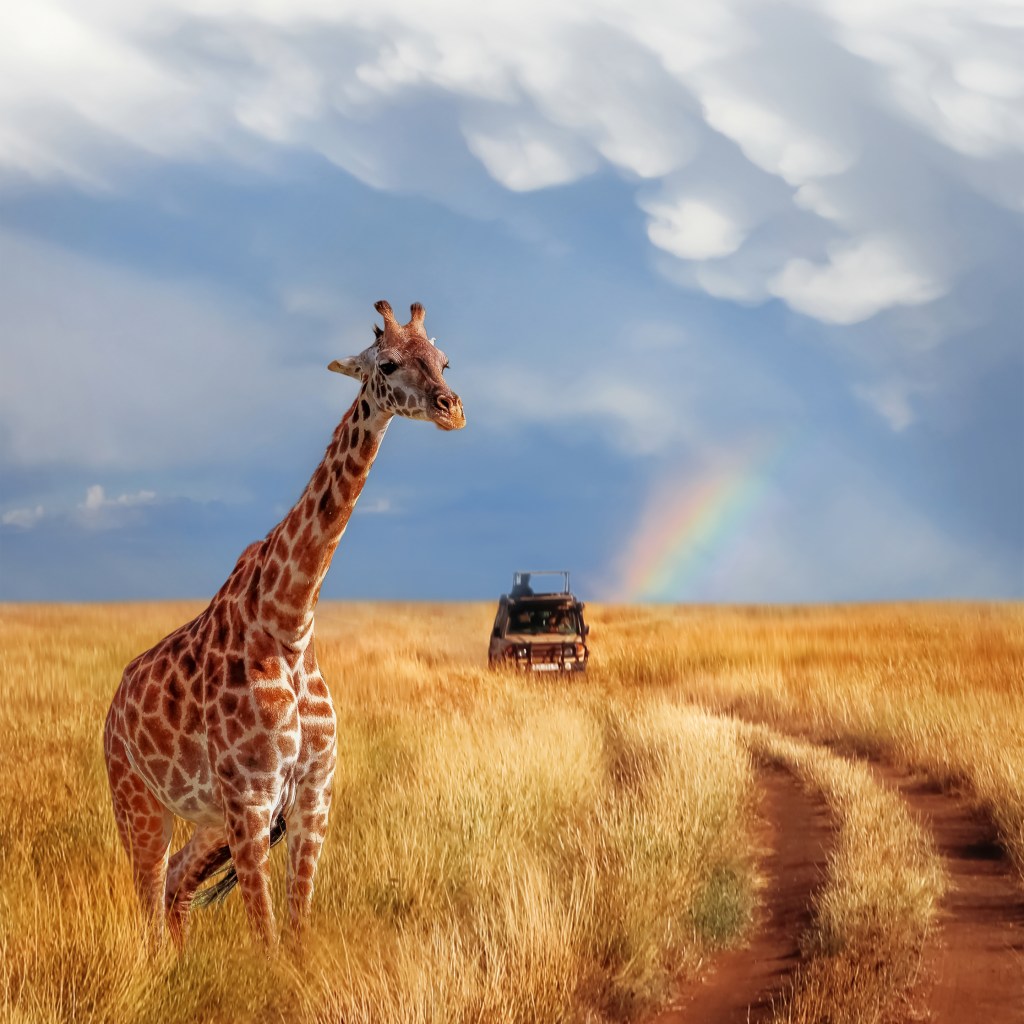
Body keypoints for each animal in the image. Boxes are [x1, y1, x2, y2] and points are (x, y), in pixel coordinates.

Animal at [103, 299, 464, 948]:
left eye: (444, 359)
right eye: (388, 363)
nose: (452, 408)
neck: (291, 622)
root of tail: (112, 711)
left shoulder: (313, 796)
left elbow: (296, 932)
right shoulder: (251, 799)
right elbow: (268, 939)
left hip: (207, 819)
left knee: (175, 884)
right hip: (138, 802)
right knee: (148, 900)